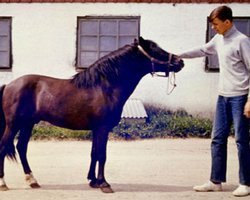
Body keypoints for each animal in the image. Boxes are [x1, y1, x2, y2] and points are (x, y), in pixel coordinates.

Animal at [0, 36, 184, 193]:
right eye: (155, 50)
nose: (180, 61)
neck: (105, 87)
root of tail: (9, 85)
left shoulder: (96, 129)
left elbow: (94, 153)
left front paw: (93, 181)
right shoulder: (102, 128)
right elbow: (102, 155)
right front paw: (104, 184)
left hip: (28, 123)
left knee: (21, 148)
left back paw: (32, 180)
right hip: (14, 124)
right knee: (4, 146)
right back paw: (4, 184)